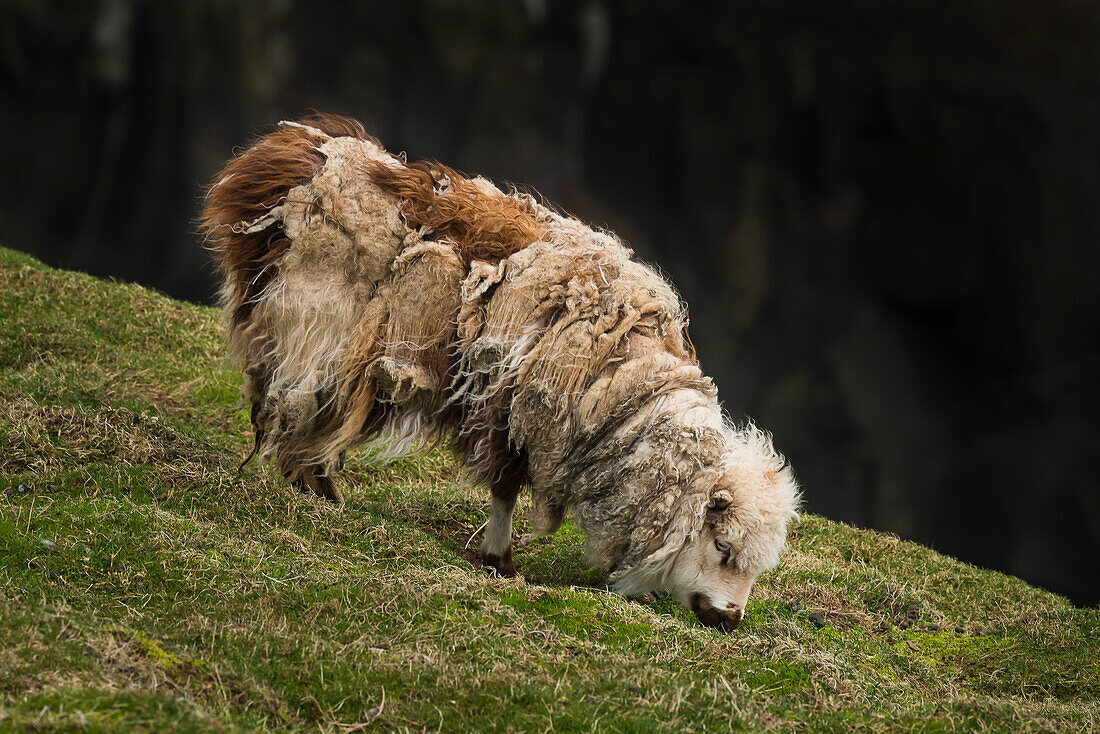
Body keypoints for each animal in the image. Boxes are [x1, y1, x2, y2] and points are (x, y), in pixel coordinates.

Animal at [202, 114, 800, 633]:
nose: (728, 619)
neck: (618, 386)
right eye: (722, 546)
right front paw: (498, 558)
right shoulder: (510, 409)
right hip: (316, 324)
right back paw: (313, 483)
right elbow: (506, 486)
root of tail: (292, 154)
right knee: (296, 400)